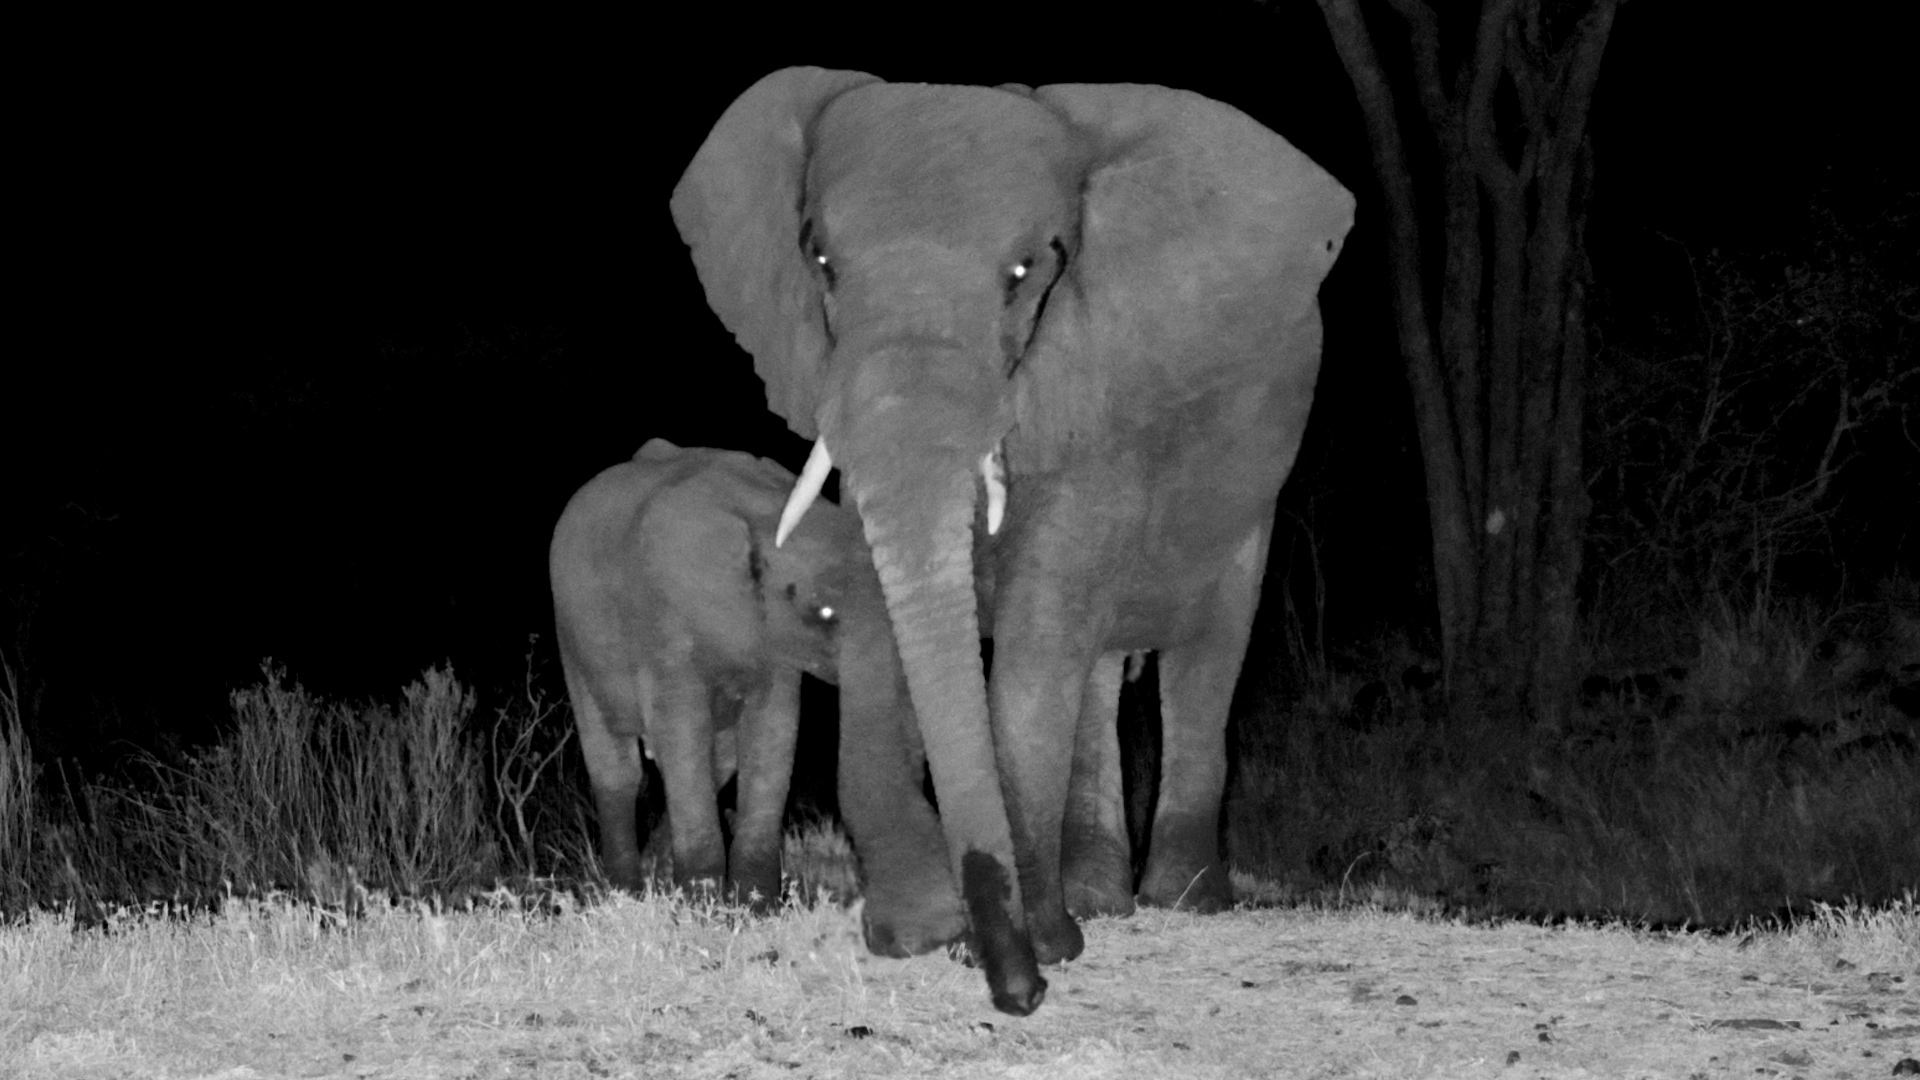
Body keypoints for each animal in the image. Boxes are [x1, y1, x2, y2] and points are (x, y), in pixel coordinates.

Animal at [549, 437, 962, 940]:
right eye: (823, 612)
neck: (766, 513)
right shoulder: (663, 622)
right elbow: (683, 733)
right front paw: (703, 918)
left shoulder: (773, 645)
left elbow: (774, 733)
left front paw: (753, 913)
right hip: (573, 639)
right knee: (620, 769)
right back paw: (625, 894)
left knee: (718, 762)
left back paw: (656, 880)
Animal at [673, 69, 1352, 1014]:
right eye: (821, 263)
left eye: (1029, 270)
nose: (1022, 995)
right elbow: (888, 611)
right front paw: (921, 937)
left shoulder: (1104, 380)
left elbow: (1034, 649)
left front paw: (1031, 945)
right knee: (1100, 669)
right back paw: (1101, 902)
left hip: (1255, 478)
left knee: (1203, 654)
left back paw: (1179, 901)